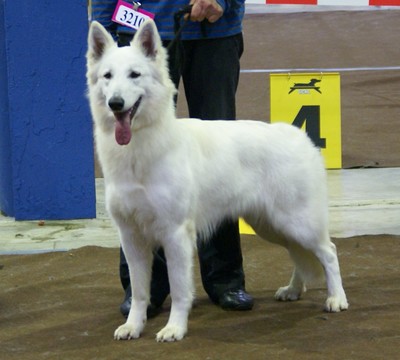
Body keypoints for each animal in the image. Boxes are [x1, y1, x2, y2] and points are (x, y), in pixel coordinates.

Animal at [86, 19, 346, 344]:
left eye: (135, 74)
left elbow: (180, 288)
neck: (142, 147)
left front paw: (174, 328)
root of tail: (300, 136)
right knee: (300, 254)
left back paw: (337, 299)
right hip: (272, 225)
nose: (116, 103)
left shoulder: (175, 235)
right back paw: (294, 290)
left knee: (328, 252)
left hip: (297, 222)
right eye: (107, 76)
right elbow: (140, 292)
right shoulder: (131, 237)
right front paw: (134, 326)